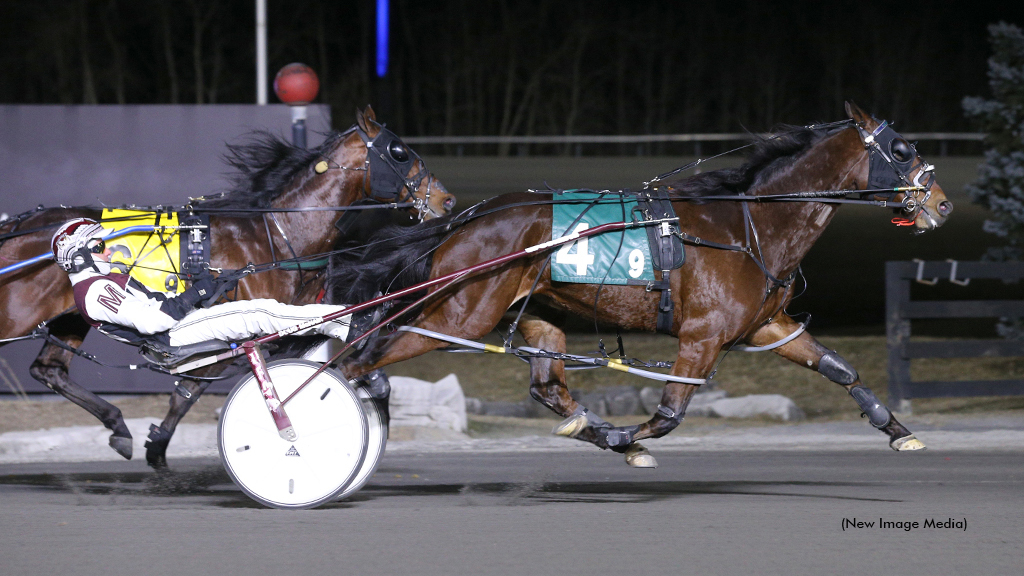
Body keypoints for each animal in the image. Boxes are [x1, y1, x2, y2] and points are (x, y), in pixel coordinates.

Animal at [0, 105, 456, 467]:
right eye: (399, 151)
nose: (447, 200)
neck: (276, 235)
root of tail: (16, 227)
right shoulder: (230, 326)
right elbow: (191, 387)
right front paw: (159, 446)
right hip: (17, 314)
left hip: (69, 318)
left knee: (49, 370)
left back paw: (117, 426)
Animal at [331, 101, 954, 461]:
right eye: (902, 149)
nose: (942, 204)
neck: (747, 225)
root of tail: (467, 219)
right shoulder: (702, 336)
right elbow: (671, 413)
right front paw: (627, 439)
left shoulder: (764, 326)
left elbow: (839, 368)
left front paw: (898, 429)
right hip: (462, 312)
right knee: (365, 356)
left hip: (536, 313)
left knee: (547, 385)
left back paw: (587, 424)